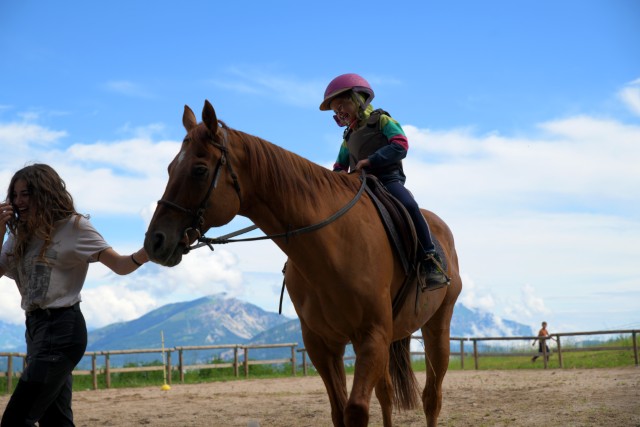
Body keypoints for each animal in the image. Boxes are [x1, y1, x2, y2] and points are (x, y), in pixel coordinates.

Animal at [144, 100, 462, 427]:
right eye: (170, 168)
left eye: (199, 170)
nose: (155, 241)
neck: (332, 247)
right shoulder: (321, 344)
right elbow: (339, 411)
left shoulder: (371, 337)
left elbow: (355, 410)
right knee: (386, 394)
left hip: (437, 327)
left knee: (431, 397)